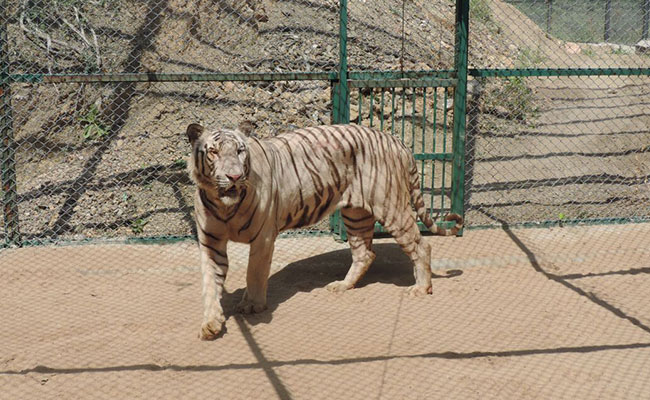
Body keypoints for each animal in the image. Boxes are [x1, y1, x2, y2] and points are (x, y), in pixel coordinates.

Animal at [186, 122, 463, 340]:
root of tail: (395, 140)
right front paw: (210, 324)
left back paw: (421, 288)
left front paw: (252, 305)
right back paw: (342, 285)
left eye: (240, 151)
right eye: (213, 152)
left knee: (421, 245)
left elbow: (254, 273)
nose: (233, 177)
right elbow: (210, 284)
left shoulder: (263, 237)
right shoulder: (211, 243)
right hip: (356, 214)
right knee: (365, 253)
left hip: (390, 205)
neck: (225, 205)